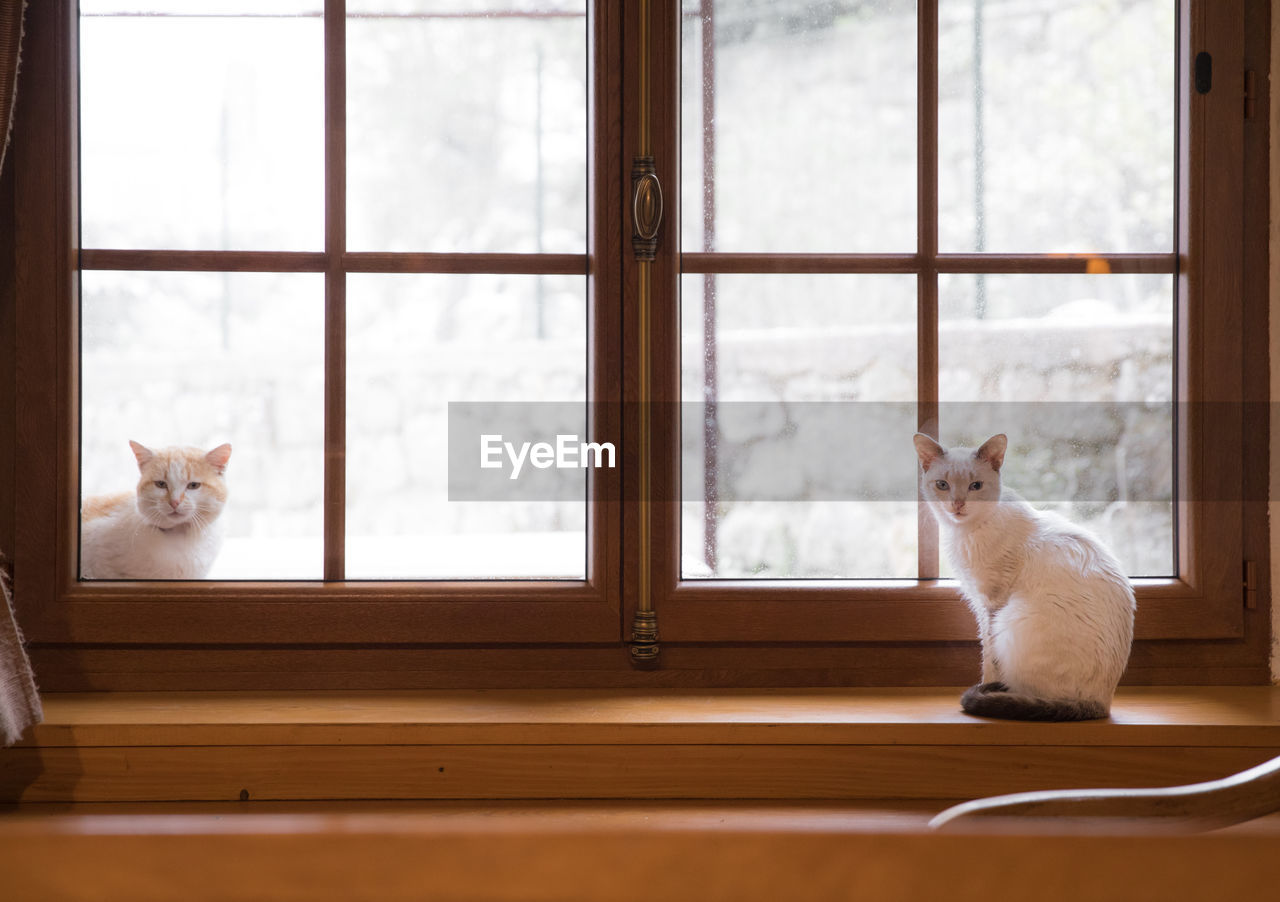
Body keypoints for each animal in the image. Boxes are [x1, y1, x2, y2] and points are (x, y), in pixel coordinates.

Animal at [916, 432, 1136, 721]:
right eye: (942, 485)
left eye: (976, 486)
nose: (958, 504)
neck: (964, 532)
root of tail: (1102, 704)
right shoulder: (979, 602)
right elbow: (987, 655)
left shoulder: (990, 603)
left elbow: (989, 660)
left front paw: (985, 687)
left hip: (1010, 618)